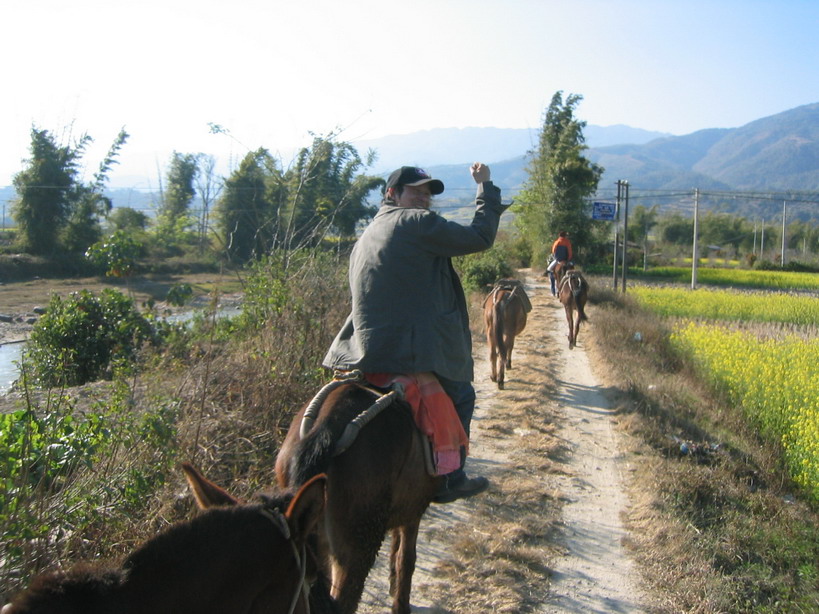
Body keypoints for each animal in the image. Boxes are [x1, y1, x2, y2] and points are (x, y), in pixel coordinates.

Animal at [276, 376, 442, 614]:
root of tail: (328, 426)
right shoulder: (414, 512)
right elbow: (406, 558)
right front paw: (400, 604)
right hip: (360, 539)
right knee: (345, 598)